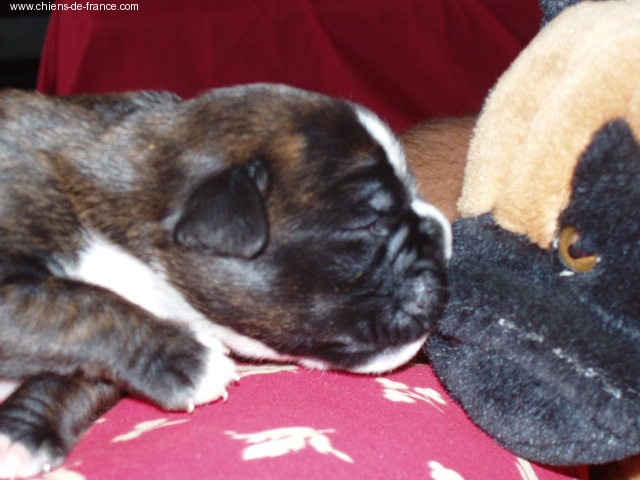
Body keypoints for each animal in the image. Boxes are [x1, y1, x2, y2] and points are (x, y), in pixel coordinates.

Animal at [0, 84, 450, 477]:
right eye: (370, 223)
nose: (444, 234)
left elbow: (70, 377)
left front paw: (21, 434)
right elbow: (78, 306)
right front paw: (190, 361)